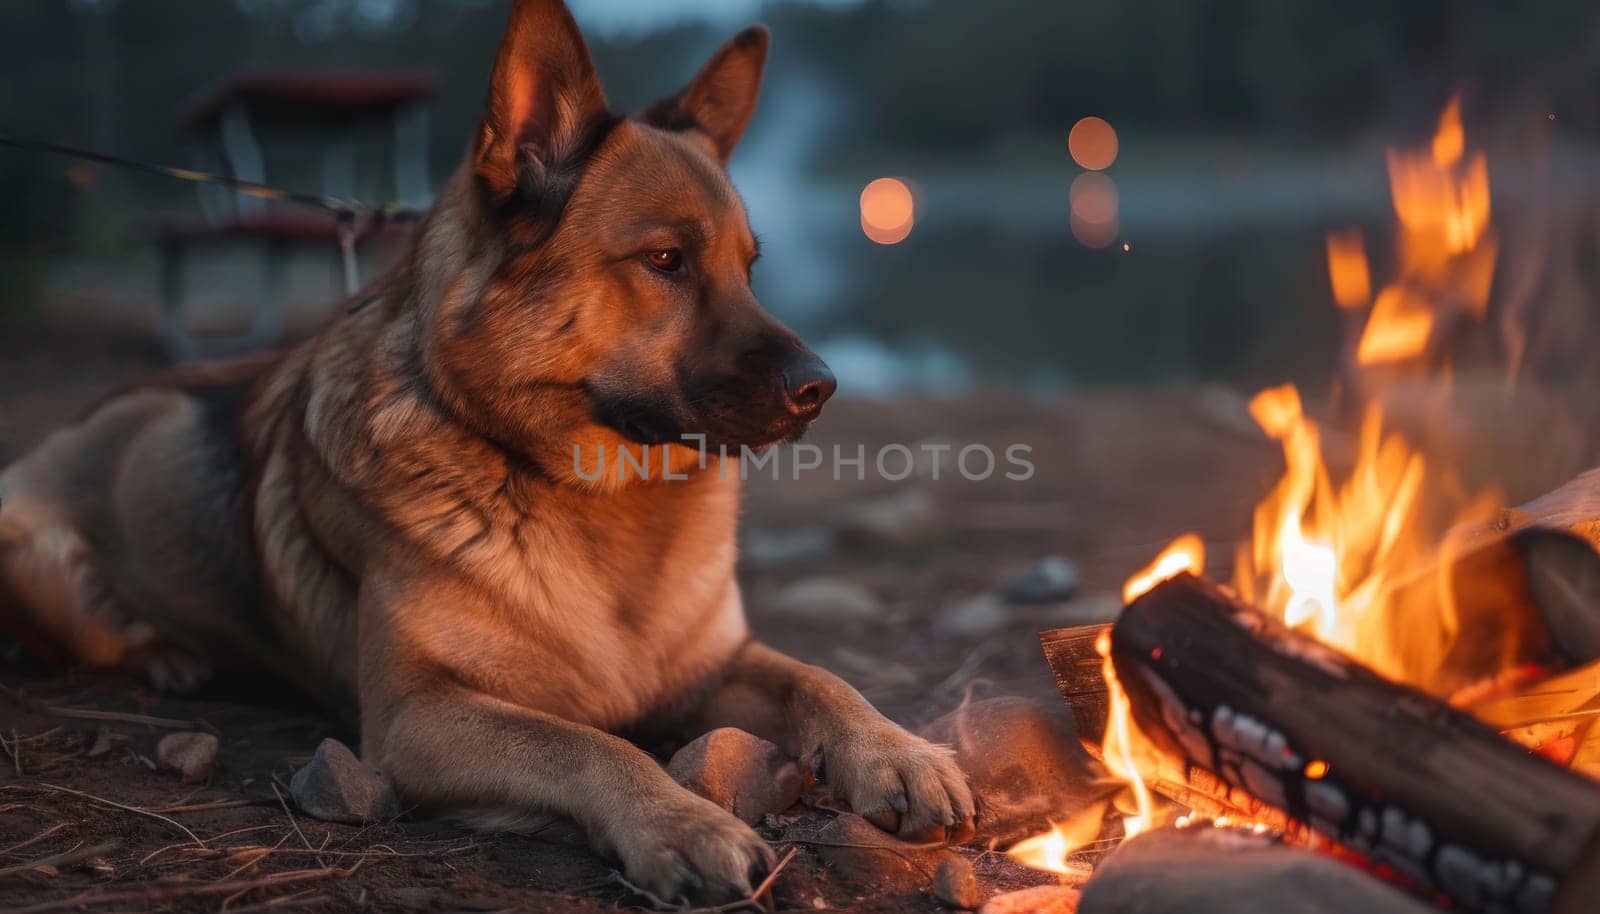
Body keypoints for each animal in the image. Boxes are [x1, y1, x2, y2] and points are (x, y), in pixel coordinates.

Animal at [0, 0, 972, 902]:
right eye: (665, 260)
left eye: (750, 267)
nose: (822, 387)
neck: (597, 496)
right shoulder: (418, 718)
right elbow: (586, 743)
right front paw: (681, 823)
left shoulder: (717, 665)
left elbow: (818, 678)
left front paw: (897, 750)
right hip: (41, 551)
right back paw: (168, 657)